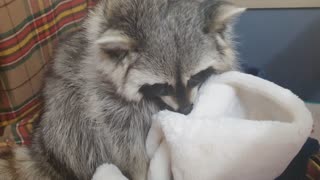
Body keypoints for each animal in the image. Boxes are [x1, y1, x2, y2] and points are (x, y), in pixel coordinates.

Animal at [0, 0, 245, 179]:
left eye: (195, 77)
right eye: (162, 86)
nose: (186, 110)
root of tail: (42, 151)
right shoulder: (99, 94)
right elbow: (124, 138)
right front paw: (143, 170)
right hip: (65, 114)